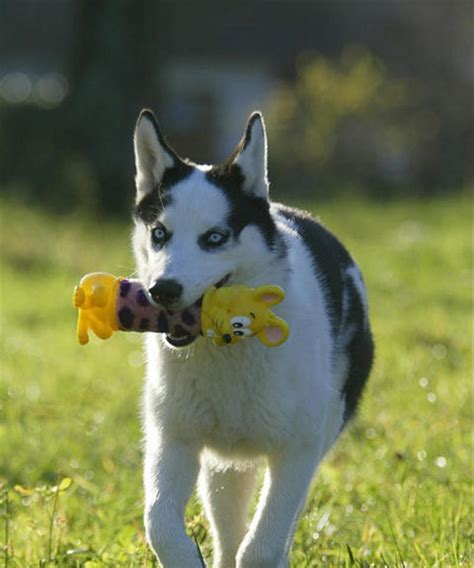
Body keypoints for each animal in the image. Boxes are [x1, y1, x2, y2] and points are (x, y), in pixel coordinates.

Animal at [131, 111, 372, 568]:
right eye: (159, 234)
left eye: (214, 238)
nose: (162, 290)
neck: (228, 345)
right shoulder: (173, 440)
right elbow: (160, 526)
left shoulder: (297, 453)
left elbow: (261, 547)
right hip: (224, 469)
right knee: (227, 529)